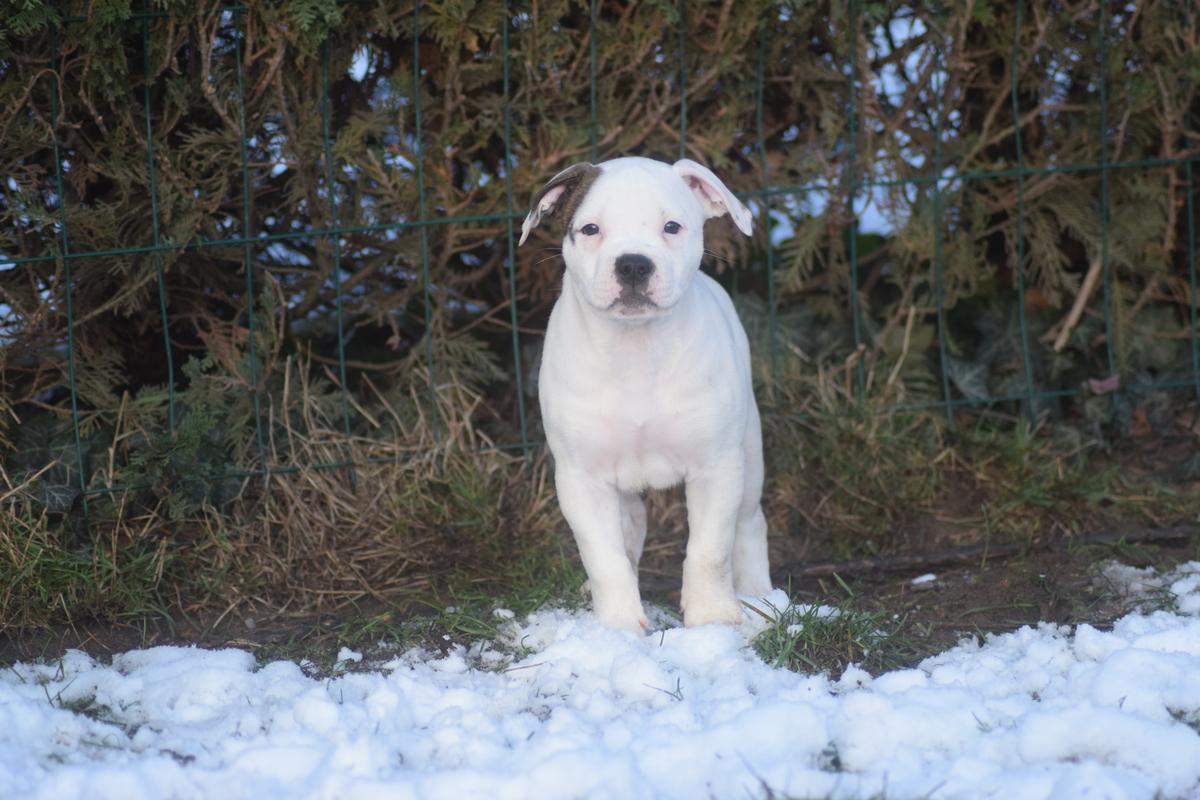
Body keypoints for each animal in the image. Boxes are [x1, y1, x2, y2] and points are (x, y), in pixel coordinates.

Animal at [520, 155, 772, 633]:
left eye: (671, 227)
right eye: (590, 229)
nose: (633, 264)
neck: (635, 348)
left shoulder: (716, 467)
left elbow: (710, 550)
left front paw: (712, 618)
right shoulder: (581, 479)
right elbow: (605, 558)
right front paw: (617, 626)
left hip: (748, 456)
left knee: (749, 523)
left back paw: (760, 596)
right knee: (631, 530)